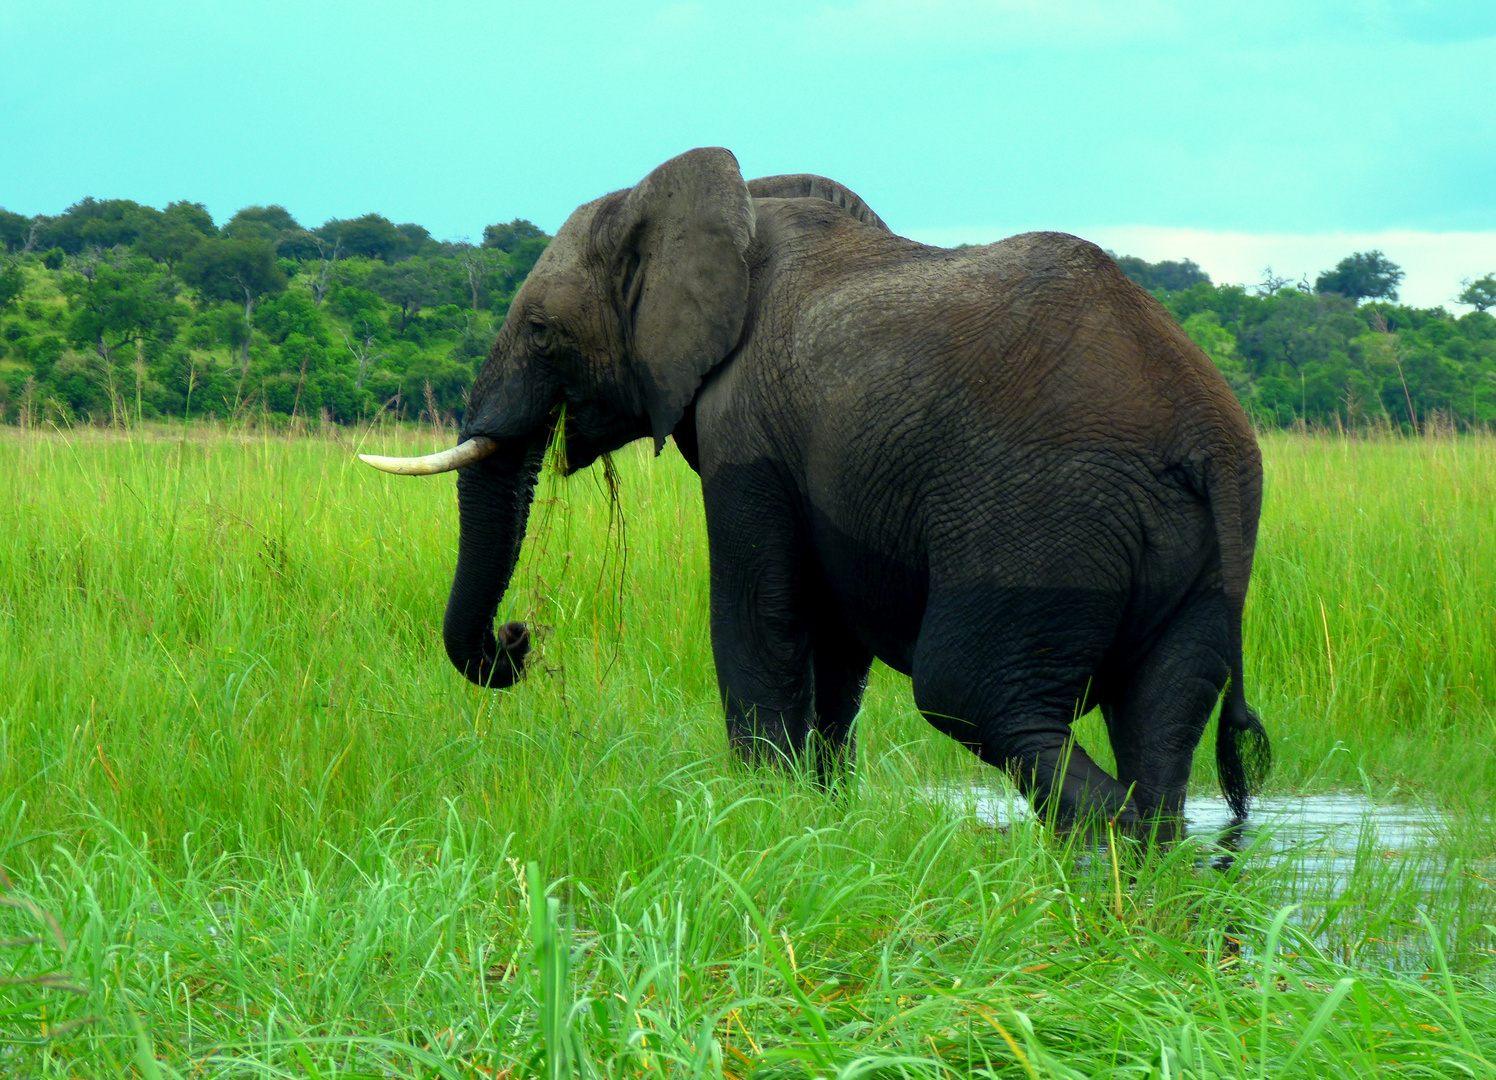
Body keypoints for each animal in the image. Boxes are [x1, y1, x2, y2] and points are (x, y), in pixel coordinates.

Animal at [359, 147, 1262, 831]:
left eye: (543, 330)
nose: (520, 639)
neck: (733, 209)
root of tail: (1203, 442)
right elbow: (834, 642)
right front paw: (819, 818)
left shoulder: (746, 429)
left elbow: (757, 612)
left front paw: (759, 815)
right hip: (1204, 568)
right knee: (1158, 724)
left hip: (1043, 522)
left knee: (973, 696)